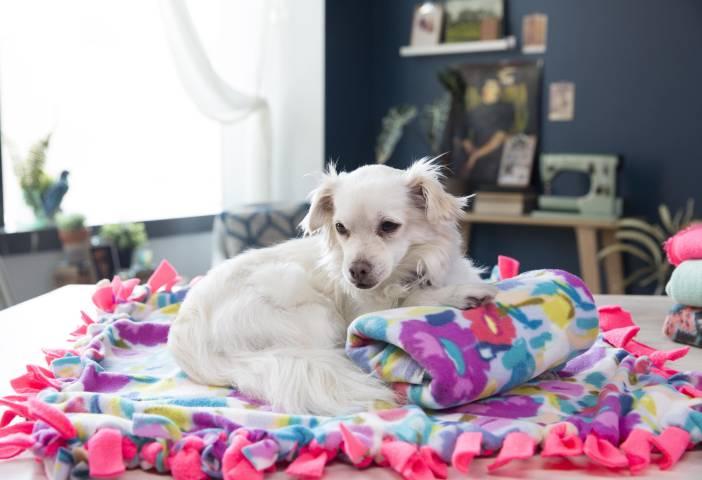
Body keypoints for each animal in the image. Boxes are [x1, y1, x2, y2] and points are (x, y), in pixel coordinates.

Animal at [169, 159, 500, 414]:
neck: (403, 274)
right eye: (341, 228)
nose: (356, 270)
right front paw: (460, 295)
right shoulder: (364, 312)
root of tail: (190, 346)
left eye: (388, 226)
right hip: (310, 306)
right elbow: (414, 299)